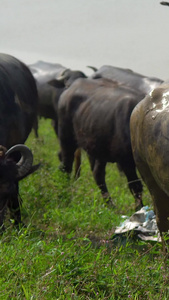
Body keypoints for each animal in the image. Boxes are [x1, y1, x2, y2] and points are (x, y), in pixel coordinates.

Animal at [57, 77, 145, 209]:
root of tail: (69, 88)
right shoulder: (126, 161)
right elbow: (135, 186)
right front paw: (139, 208)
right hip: (66, 139)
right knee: (66, 166)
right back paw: (65, 192)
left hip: (98, 148)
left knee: (98, 174)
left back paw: (110, 204)